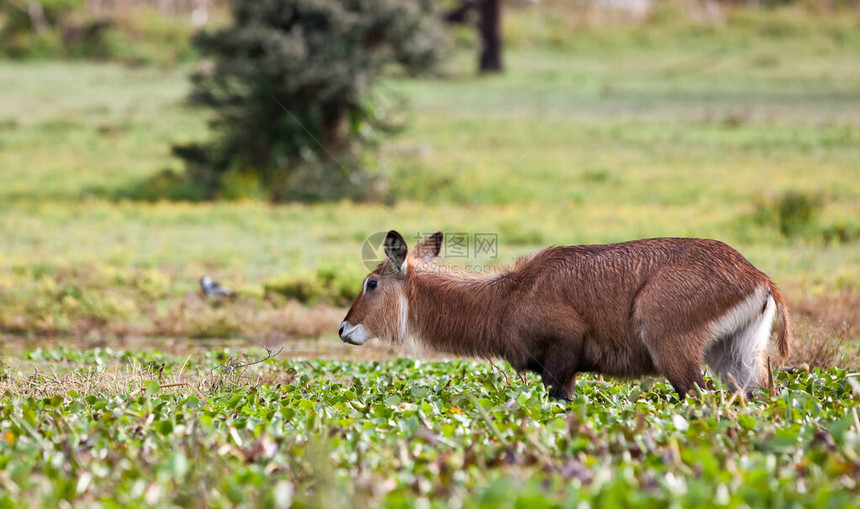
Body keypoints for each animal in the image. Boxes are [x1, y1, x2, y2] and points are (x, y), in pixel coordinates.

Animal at [338, 228, 792, 398]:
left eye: (371, 283)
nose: (344, 329)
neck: (507, 297)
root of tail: (757, 276)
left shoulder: (561, 362)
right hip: (736, 358)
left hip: (675, 354)